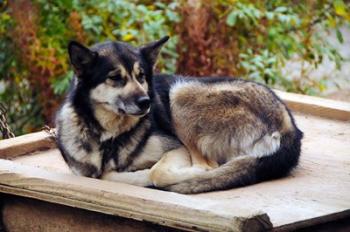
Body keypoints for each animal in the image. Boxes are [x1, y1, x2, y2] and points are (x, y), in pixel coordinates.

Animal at [56, 36, 302, 194]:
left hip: (180, 93)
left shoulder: (176, 148)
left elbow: (154, 172)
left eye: (141, 76)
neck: (110, 136)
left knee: (207, 168)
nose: (147, 102)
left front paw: (142, 176)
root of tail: (289, 127)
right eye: (115, 78)